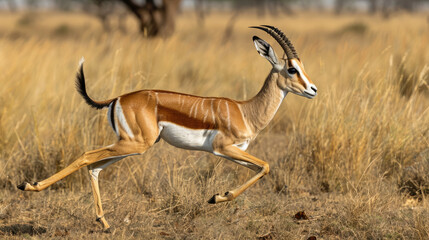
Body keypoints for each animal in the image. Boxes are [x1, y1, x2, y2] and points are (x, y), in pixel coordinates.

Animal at [17, 25, 314, 231]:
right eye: (291, 69)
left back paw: (104, 223)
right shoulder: (223, 148)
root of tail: (117, 99)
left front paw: (218, 195)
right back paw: (29, 186)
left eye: (301, 67)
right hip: (136, 144)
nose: (313, 89)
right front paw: (216, 197)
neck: (245, 111)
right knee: (88, 156)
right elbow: (266, 165)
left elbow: (260, 168)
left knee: (95, 167)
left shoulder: (235, 152)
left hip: (130, 145)